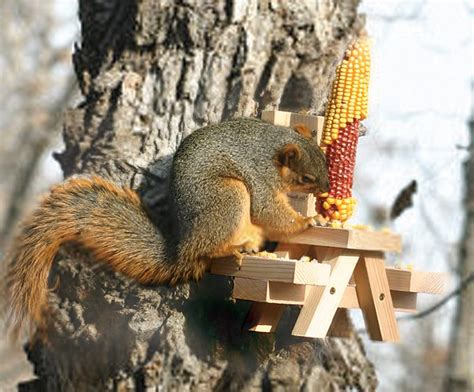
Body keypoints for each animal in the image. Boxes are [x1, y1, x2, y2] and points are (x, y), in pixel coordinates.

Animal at [2, 117, 330, 340]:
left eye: (325, 161)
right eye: (306, 177)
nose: (327, 189)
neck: (272, 148)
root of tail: (183, 250)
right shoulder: (260, 178)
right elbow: (267, 210)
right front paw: (307, 221)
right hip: (227, 195)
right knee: (211, 247)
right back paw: (233, 248)